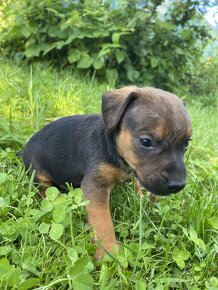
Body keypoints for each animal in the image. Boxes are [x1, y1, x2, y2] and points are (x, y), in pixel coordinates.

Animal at [23, 86, 192, 258]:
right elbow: (103, 222)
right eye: (146, 142)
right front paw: (109, 253)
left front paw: (142, 198)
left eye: (186, 145)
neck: (112, 146)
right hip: (39, 172)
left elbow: (138, 183)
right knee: (44, 190)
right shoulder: (95, 185)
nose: (178, 185)